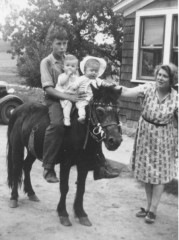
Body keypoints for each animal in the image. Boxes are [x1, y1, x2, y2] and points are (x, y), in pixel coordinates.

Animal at [6, 86, 122, 227]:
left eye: (118, 110)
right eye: (100, 111)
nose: (115, 141)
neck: (79, 129)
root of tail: (18, 110)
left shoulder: (83, 165)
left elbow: (81, 188)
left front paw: (81, 213)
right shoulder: (65, 164)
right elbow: (64, 188)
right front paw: (63, 213)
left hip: (32, 151)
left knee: (26, 166)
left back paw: (31, 193)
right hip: (17, 147)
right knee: (17, 168)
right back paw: (13, 198)